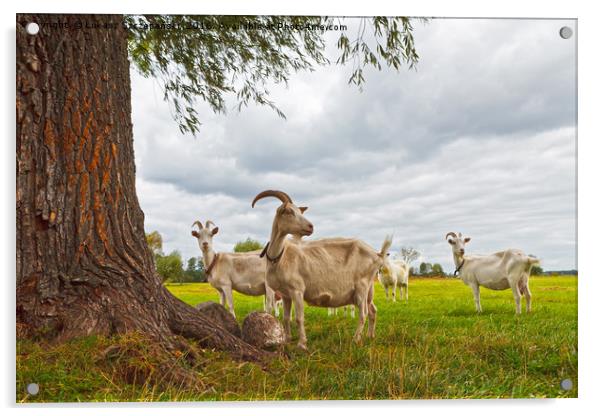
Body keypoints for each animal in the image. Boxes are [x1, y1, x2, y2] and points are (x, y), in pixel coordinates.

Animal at [251, 190, 392, 350]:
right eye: (288, 211)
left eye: (299, 211)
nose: (310, 226)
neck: (280, 256)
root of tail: (377, 254)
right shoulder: (286, 294)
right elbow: (287, 318)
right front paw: (287, 340)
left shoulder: (297, 290)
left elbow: (299, 318)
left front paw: (302, 344)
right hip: (369, 288)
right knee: (373, 310)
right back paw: (370, 336)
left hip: (361, 286)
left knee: (363, 313)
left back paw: (356, 340)